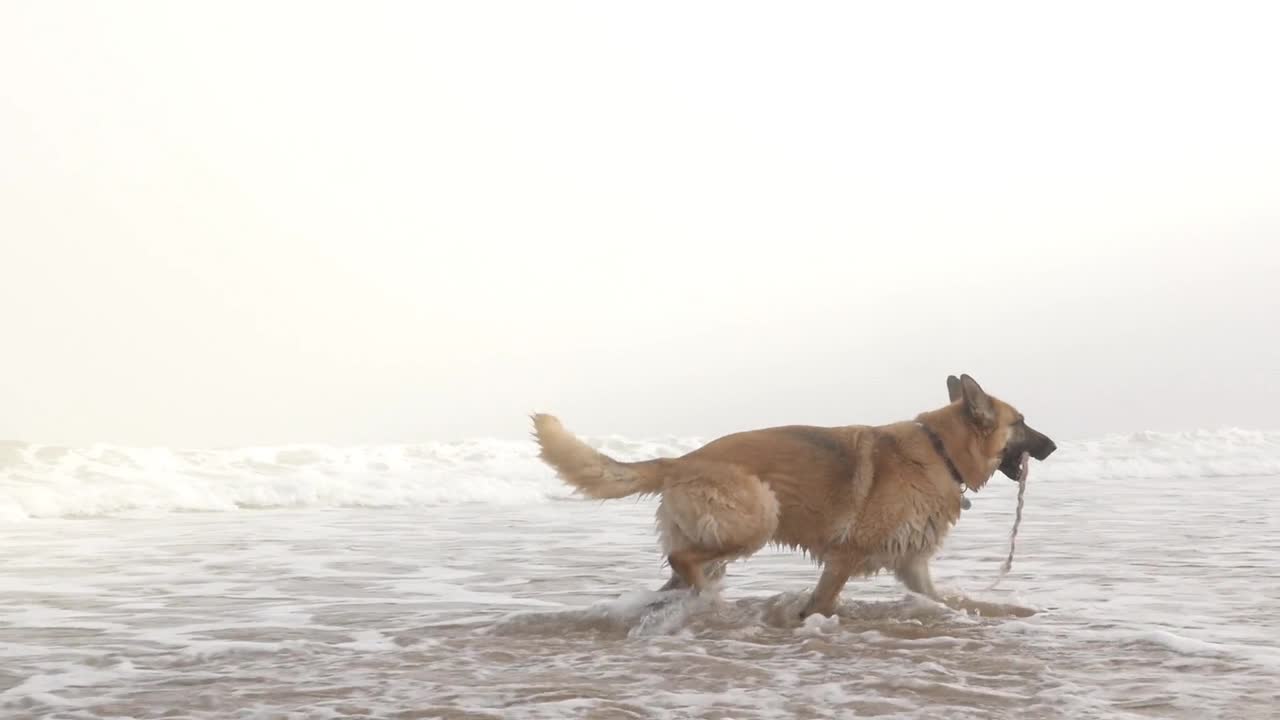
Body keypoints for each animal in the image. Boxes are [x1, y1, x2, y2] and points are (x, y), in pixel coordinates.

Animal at [524, 371, 1054, 614]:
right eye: (1022, 423)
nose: (1053, 446)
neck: (939, 449)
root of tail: (681, 461)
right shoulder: (845, 557)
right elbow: (821, 602)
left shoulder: (913, 567)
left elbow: (943, 600)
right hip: (759, 518)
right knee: (684, 561)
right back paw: (711, 602)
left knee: (675, 575)